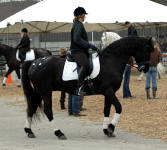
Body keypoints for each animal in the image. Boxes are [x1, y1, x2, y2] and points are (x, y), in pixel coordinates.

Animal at [21, 36, 156, 139]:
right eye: (147, 49)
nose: (146, 68)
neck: (111, 61)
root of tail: (34, 62)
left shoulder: (108, 92)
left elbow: (106, 109)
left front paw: (106, 130)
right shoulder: (109, 91)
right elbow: (119, 107)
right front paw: (111, 128)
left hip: (39, 92)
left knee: (32, 107)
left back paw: (29, 131)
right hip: (45, 92)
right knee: (48, 110)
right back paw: (59, 133)